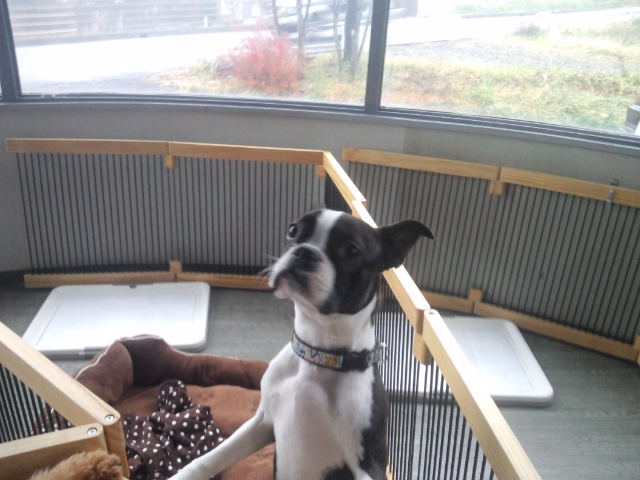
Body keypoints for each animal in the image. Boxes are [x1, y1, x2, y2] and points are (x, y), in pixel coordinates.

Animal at [173, 209, 432, 480]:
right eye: (293, 230)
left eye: (351, 251)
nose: (305, 252)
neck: (319, 355)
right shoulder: (262, 423)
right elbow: (209, 459)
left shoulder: (367, 463)